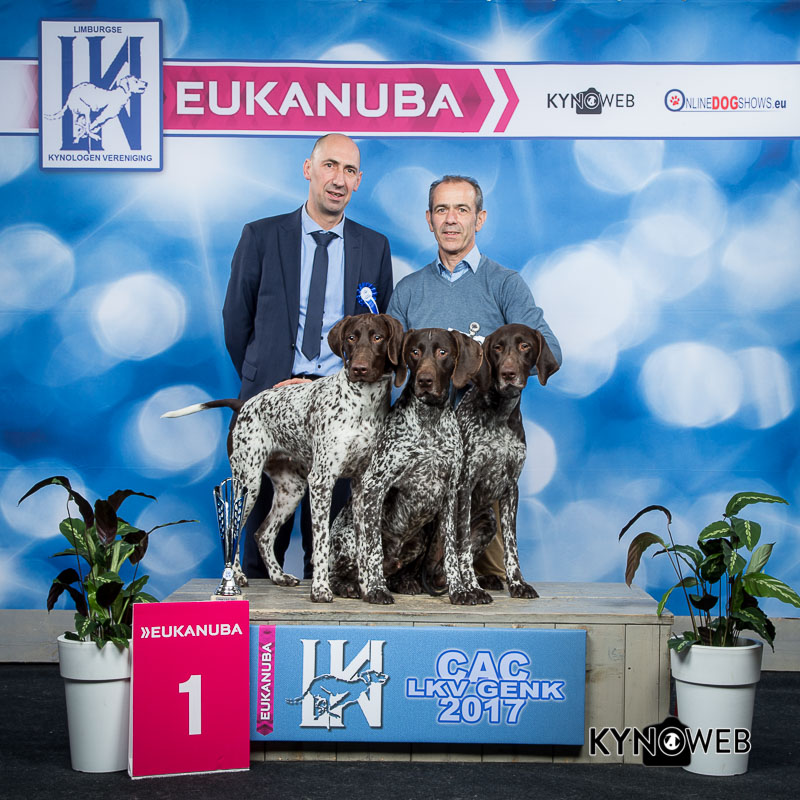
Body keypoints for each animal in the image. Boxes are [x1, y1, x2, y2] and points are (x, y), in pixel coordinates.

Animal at [163, 313, 403, 603]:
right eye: (351, 338)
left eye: (378, 337)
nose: (359, 369)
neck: (364, 405)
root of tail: (244, 404)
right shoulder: (322, 481)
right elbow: (321, 544)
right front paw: (320, 589)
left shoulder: (363, 487)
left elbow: (365, 546)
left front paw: (370, 589)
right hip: (248, 484)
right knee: (237, 531)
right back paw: (238, 576)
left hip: (291, 490)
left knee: (263, 534)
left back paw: (278, 576)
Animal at [330, 328, 484, 605]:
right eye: (414, 352)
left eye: (442, 352)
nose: (424, 380)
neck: (429, 421)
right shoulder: (375, 485)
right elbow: (373, 550)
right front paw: (376, 590)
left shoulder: (451, 493)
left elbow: (451, 553)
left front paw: (459, 590)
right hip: (347, 538)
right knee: (343, 569)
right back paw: (350, 586)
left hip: (420, 539)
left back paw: (405, 582)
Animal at [455, 323, 560, 600]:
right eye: (497, 348)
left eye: (525, 346)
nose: (508, 373)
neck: (500, 414)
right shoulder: (464, 485)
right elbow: (461, 544)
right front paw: (469, 586)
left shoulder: (511, 488)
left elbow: (512, 544)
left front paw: (517, 583)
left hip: (489, 521)